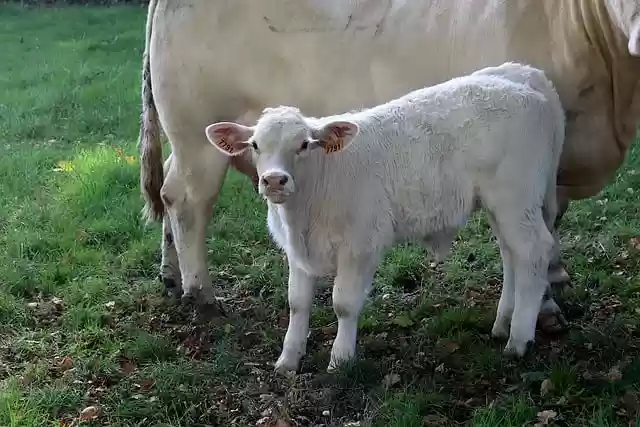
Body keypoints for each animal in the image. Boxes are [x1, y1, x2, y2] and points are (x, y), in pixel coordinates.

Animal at [139, 0, 640, 319]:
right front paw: (546, 304)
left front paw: (554, 280)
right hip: (198, 132)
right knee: (188, 202)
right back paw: (201, 294)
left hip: (188, 140)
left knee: (168, 196)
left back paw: (171, 277)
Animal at [204, 62, 566, 371]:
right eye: (254, 144)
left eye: (304, 144)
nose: (275, 180)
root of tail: (525, 76)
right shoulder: (297, 251)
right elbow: (297, 302)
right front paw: (288, 359)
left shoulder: (360, 244)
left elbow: (344, 303)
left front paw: (340, 360)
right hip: (503, 205)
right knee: (512, 253)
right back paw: (503, 322)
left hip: (515, 197)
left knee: (532, 251)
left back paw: (518, 338)